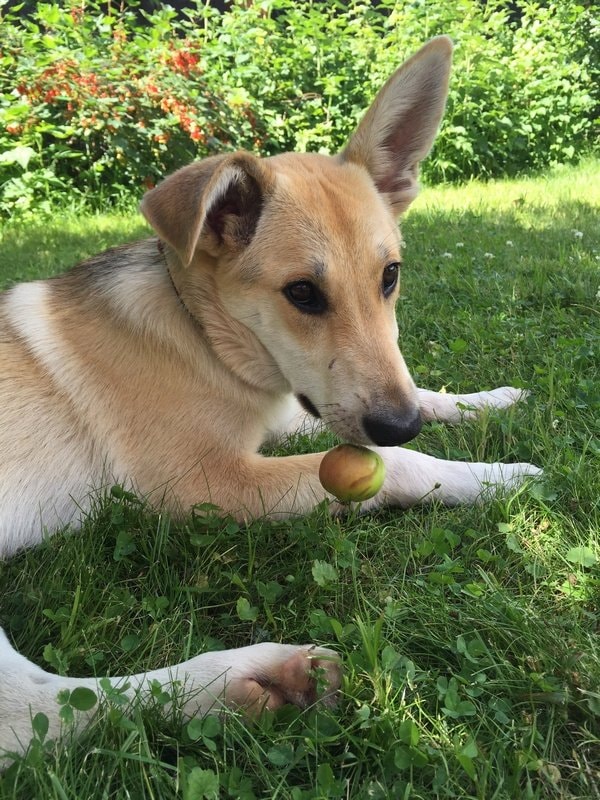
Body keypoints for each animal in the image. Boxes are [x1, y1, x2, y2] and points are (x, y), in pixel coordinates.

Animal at [0, 37, 541, 766]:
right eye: (303, 294)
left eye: (390, 276)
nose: (398, 424)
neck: (201, 335)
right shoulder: (208, 482)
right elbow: (399, 466)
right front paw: (501, 477)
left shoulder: (296, 409)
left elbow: (428, 397)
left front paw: (494, 399)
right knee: (39, 710)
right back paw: (255, 677)